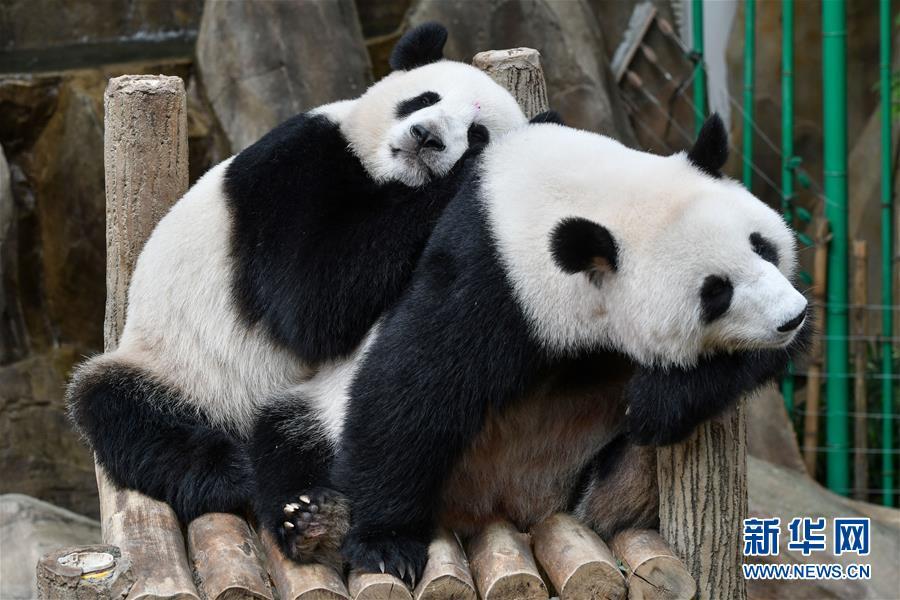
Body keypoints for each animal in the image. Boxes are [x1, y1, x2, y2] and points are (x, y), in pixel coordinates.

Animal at [68, 23, 528, 536]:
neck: (389, 178)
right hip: (175, 366)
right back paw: (234, 474)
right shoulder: (294, 165)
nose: (425, 136)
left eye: (477, 133)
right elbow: (308, 297)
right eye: (424, 98)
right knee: (124, 412)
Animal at [251, 111, 808, 580]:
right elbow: (412, 388)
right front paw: (384, 543)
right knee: (285, 439)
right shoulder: (494, 274)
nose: (790, 316)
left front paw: (660, 401)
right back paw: (314, 524)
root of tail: (499, 509)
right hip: (320, 408)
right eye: (716, 292)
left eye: (762, 246)